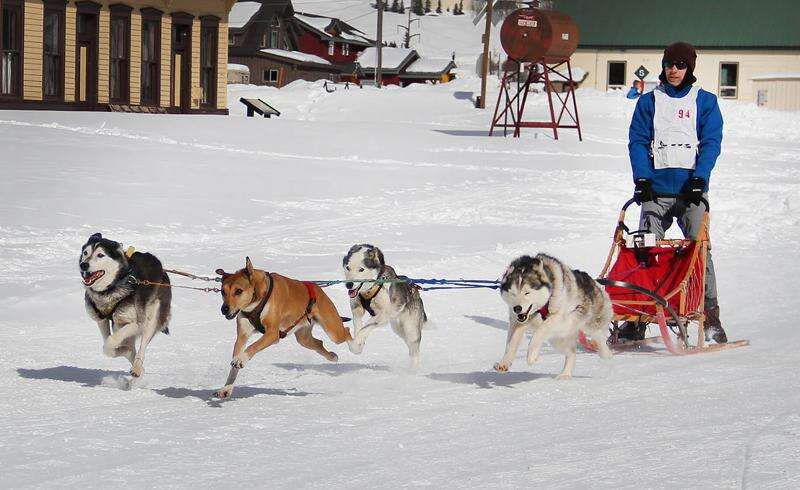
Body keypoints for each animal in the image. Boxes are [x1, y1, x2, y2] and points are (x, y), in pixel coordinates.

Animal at [79, 234, 170, 378]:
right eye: (85, 253)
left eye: (100, 255)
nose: (84, 265)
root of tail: (161, 268)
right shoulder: (101, 321)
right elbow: (108, 346)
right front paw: (124, 351)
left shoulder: (137, 324)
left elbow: (111, 341)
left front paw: (124, 351)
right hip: (118, 324)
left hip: (150, 320)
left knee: (142, 347)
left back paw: (137, 368)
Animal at [212, 256, 354, 398]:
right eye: (223, 292)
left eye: (239, 291)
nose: (224, 309)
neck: (256, 300)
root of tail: (318, 289)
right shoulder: (242, 335)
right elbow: (234, 365)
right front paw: (226, 388)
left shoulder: (272, 333)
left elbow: (252, 346)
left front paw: (241, 359)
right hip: (304, 339)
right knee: (319, 343)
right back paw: (332, 357)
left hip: (333, 331)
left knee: (347, 331)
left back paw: (355, 347)